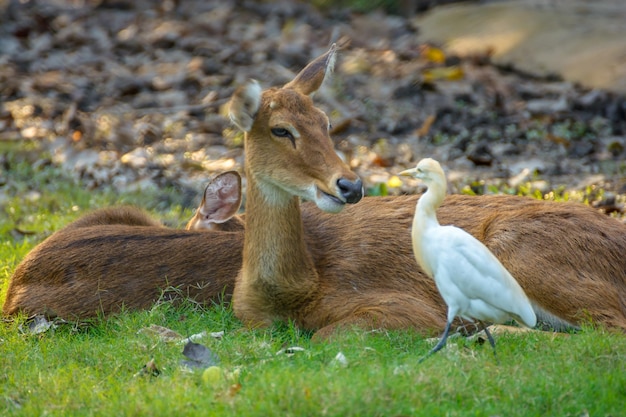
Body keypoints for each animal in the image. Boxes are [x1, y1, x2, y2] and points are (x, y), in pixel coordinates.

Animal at [4, 45, 624, 338]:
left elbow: (334, 335)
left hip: (525, 250)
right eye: (282, 130)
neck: (294, 293)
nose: (350, 183)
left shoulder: (406, 306)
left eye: (328, 122)